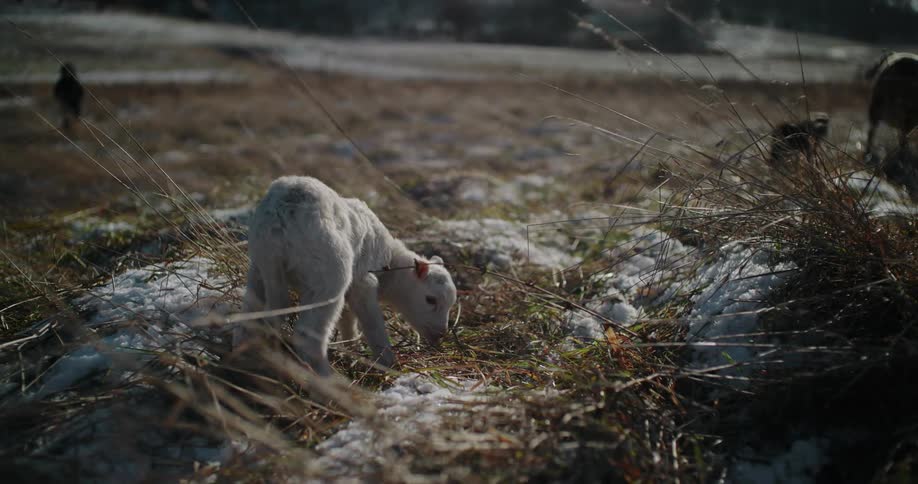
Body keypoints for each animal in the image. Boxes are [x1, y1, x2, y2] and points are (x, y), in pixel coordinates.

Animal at [234, 176, 457, 376]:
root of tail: (280, 219)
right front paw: (388, 364)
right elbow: (372, 325)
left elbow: (348, 321)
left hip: (261, 266)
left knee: (252, 313)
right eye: (430, 300)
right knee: (309, 337)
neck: (391, 265)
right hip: (329, 272)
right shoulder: (363, 282)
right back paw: (328, 378)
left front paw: (352, 351)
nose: (440, 334)